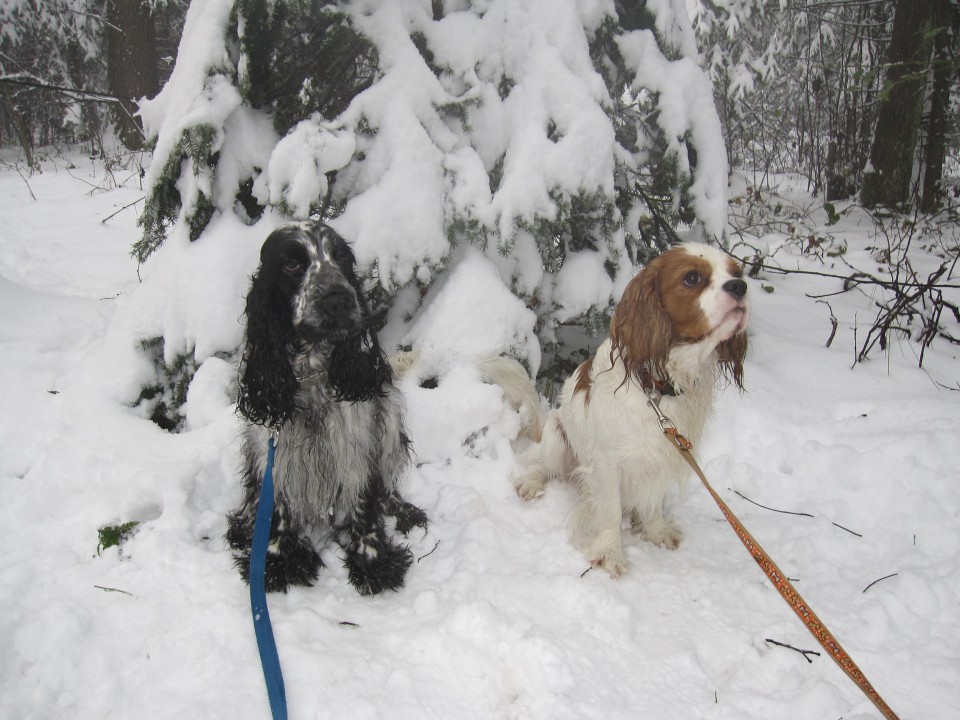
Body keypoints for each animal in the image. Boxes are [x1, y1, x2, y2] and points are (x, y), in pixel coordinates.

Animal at [227, 222, 426, 592]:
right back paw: (244, 525)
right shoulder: (272, 446)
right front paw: (276, 560)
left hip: (389, 416)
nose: (340, 300)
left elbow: (362, 501)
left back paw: (403, 511)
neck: (311, 374)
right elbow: (275, 507)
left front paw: (373, 560)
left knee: (386, 483)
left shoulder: (354, 442)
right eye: (292, 264)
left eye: (342, 258)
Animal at [516, 245, 752, 576]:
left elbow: (652, 499)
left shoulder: (662, 455)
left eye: (736, 273)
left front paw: (656, 530)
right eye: (692, 278)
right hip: (557, 440)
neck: (658, 385)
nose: (740, 287)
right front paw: (609, 552)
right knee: (541, 465)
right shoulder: (606, 462)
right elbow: (611, 511)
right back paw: (531, 483)